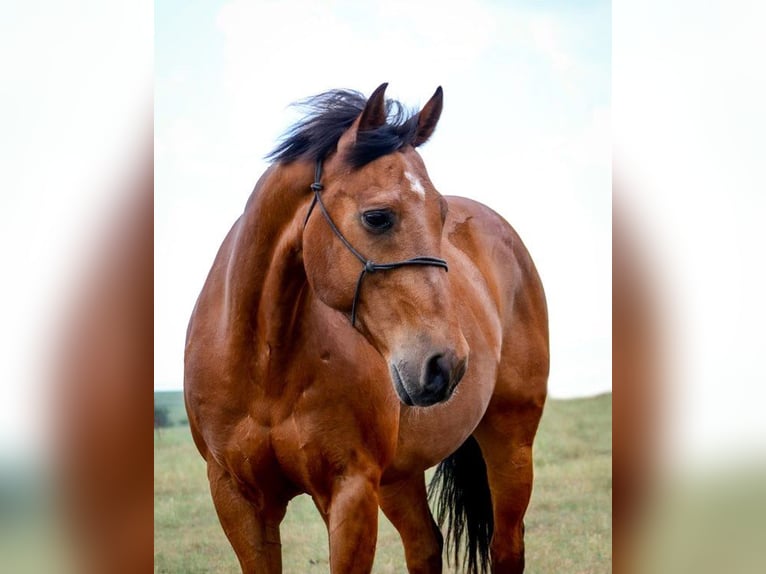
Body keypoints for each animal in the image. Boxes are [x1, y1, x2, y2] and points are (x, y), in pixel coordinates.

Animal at [183, 82, 548, 574]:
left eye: (441, 214)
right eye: (377, 216)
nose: (446, 364)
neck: (264, 368)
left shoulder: (351, 493)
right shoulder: (238, 499)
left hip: (511, 444)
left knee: (506, 548)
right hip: (399, 477)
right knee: (425, 545)